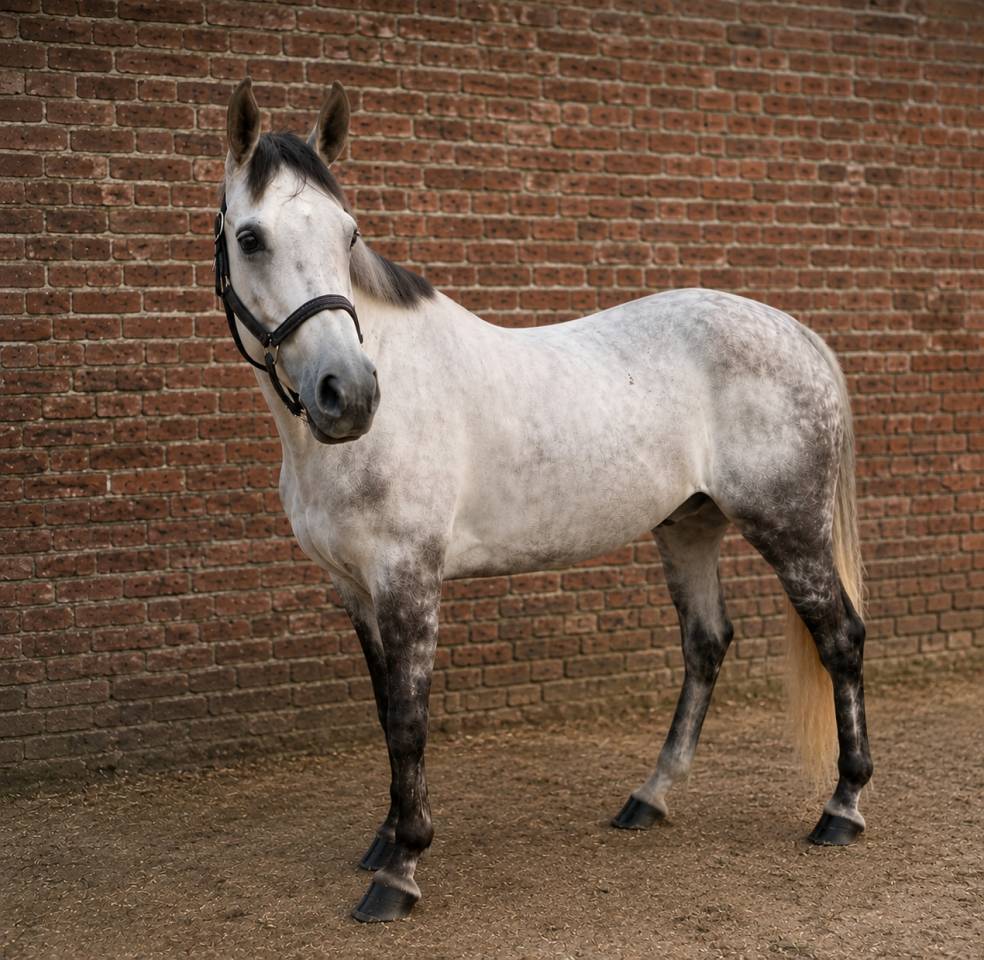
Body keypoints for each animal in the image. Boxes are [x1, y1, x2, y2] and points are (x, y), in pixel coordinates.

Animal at [214, 78, 873, 923]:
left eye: (348, 234)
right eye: (251, 238)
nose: (348, 394)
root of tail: (798, 335)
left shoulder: (408, 582)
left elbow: (410, 720)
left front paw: (400, 871)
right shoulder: (353, 589)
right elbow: (386, 711)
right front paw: (385, 838)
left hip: (790, 527)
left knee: (840, 639)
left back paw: (842, 809)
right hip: (687, 527)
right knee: (706, 643)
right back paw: (648, 798)